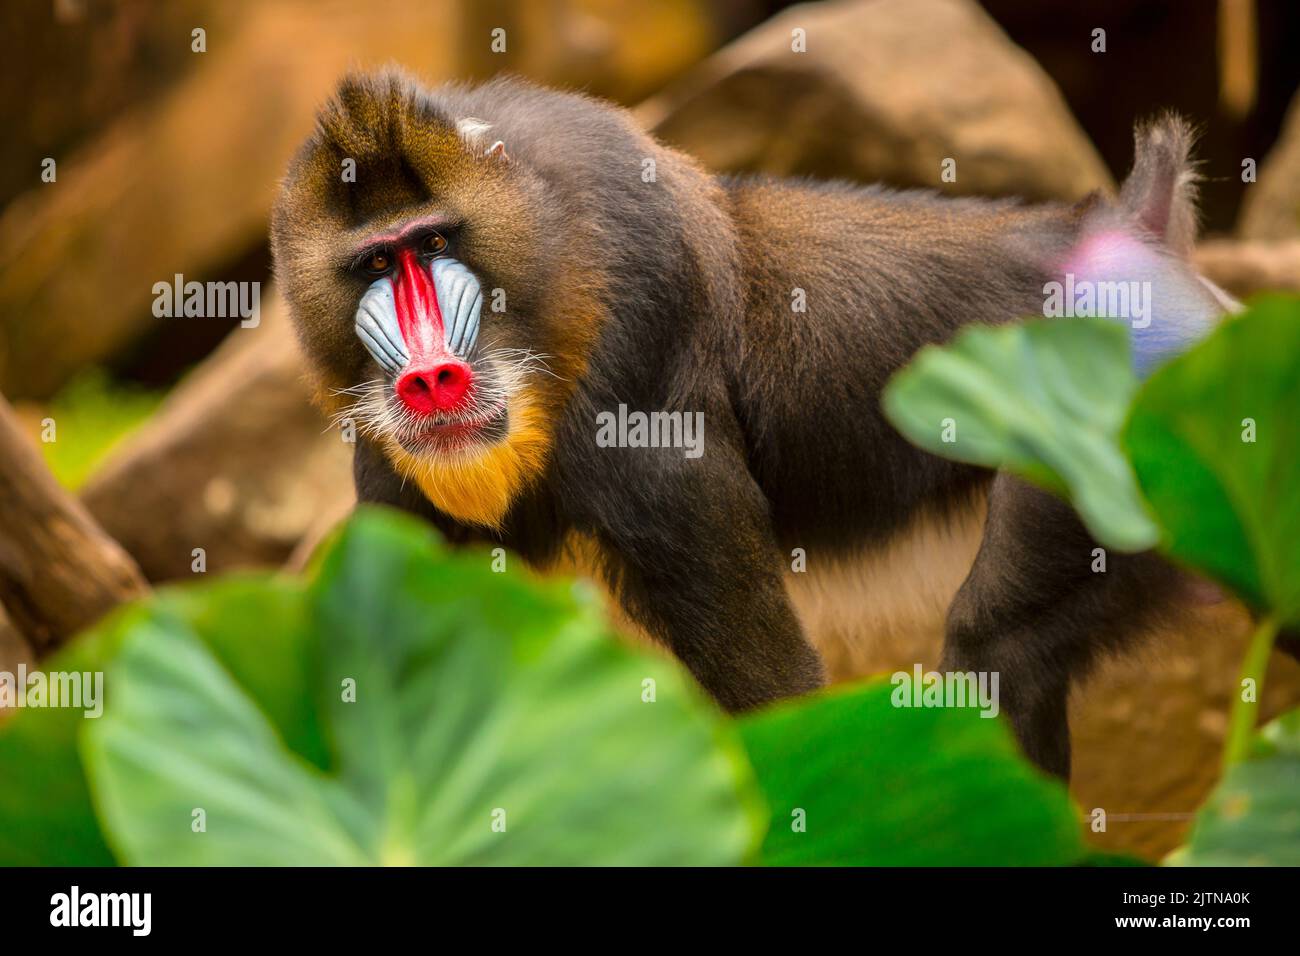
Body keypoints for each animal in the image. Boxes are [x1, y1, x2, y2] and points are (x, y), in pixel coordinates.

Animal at [272, 69, 1241, 780]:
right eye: (374, 264)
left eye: (435, 245)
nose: (430, 377)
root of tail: (1128, 236)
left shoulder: (649, 400)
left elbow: (774, 699)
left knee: (1000, 646)